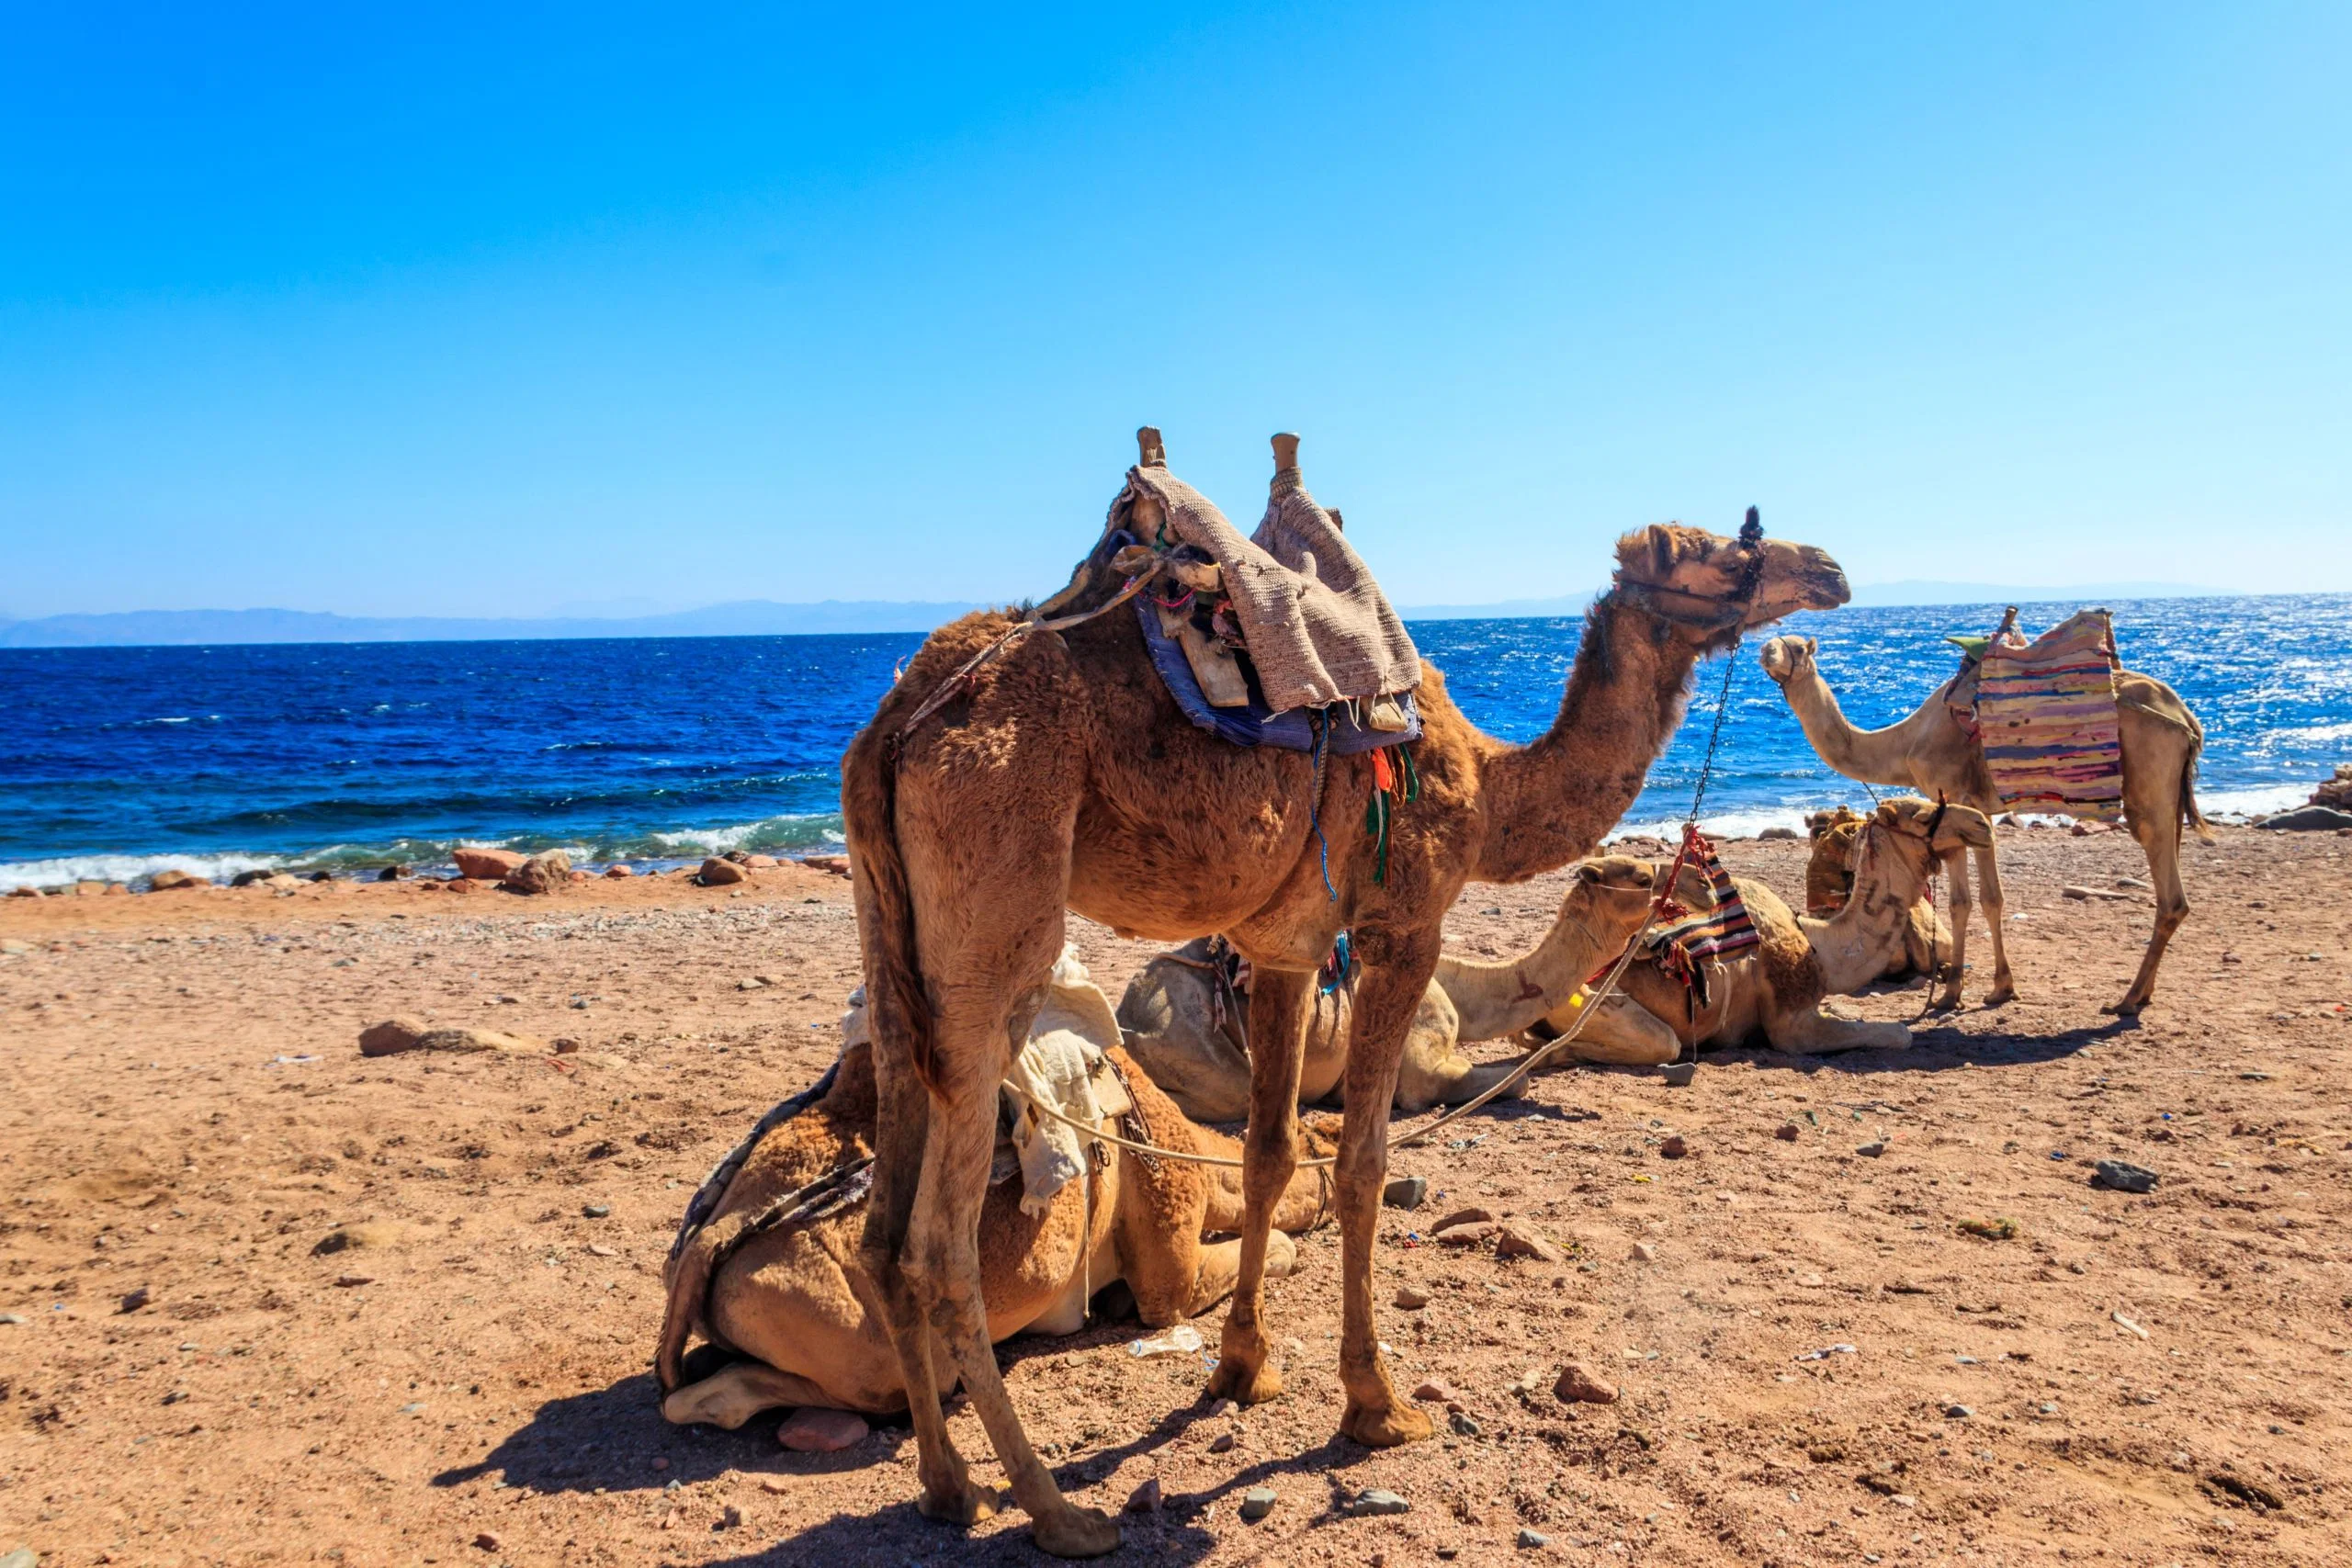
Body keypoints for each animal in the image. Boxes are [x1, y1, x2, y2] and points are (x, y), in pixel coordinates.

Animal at [1117, 855, 1705, 1121]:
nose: (1695, 880)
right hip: (1197, 1048)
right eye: (1639, 876)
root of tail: (1127, 1018)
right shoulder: (1423, 1071)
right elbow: (1515, 1081)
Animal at [1532, 797, 1996, 1060]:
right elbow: (1900, 1034)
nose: (1982, 823)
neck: (1820, 946)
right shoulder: (1790, 1026)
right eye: (1922, 814)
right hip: (1593, 1004)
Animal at [1759, 633, 2208, 1014]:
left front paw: (1950, 994)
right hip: (2170, 796)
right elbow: (1993, 898)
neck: (1904, 744)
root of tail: (2186, 717)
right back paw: (2142, 994)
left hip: (2148, 782)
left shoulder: (1951, 799)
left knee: (2170, 894)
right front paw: (2001, 988)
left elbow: (1960, 903)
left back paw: (2127, 999)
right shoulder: (1981, 813)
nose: (1765, 651)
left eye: (1796, 647)